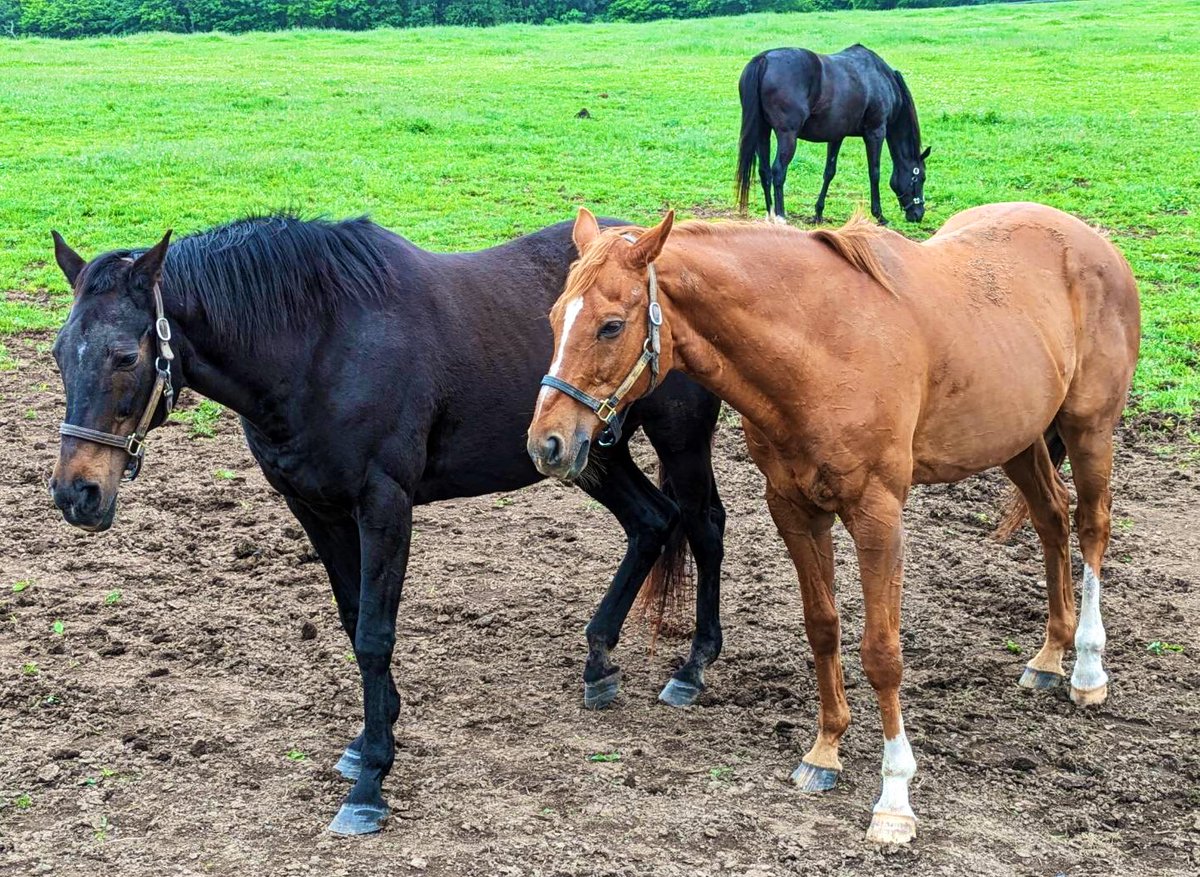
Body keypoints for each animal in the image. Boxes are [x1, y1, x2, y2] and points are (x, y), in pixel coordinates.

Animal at [46, 214, 724, 835]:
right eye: (57, 353)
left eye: (125, 356)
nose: (76, 492)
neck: (319, 346)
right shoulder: (315, 510)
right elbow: (354, 622)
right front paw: (372, 736)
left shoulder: (383, 505)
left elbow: (374, 634)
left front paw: (371, 780)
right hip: (587, 451)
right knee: (652, 522)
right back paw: (599, 662)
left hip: (677, 438)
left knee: (704, 525)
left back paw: (692, 670)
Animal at [532, 203, 1142, 844]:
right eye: (554, 317)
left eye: (611, 326)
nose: (547, 443)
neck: (822, 350)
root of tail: (1093, 242)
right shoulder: (795, 511)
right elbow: (822, 628)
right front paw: (824, 752)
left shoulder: (878, 516)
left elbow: (881, 653)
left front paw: (895, 797)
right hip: (1018, 438)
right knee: (1051, 518)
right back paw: (1049, 657)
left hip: (1090, 428)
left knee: (1092, 527)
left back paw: (1087, 668)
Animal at [734, 44, 931, 226]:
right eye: (921, 177)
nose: (918, 214)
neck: (881, 79)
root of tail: (764, 59)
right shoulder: (875, 132)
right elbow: (874, 173)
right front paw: (879, 215)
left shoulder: (836, 136)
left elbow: (829, 172)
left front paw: (818, 213)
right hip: (787, 136)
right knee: (778, 171)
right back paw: (781, 216)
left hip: (762, 132)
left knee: (764, 171)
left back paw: (770, 214)